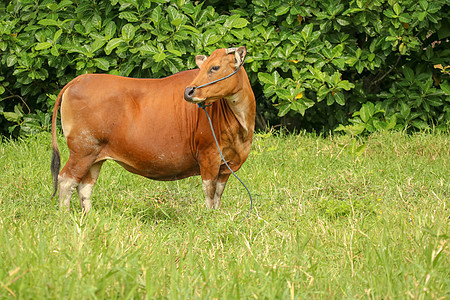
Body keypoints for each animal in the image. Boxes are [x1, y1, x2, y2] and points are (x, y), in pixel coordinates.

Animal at [51, 45, 255, 212]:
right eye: (202, 68)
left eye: (215, 67)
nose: (189, 92)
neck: (240, 123)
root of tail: (78, 80)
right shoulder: (208, 156)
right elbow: (210, 192)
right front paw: (209, 216)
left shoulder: (227, 165)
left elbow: (218, 193)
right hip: (81, 150)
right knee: (66, 180)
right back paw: (64, 214)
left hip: (95, 155)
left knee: (84, 186)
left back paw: (87, 215)